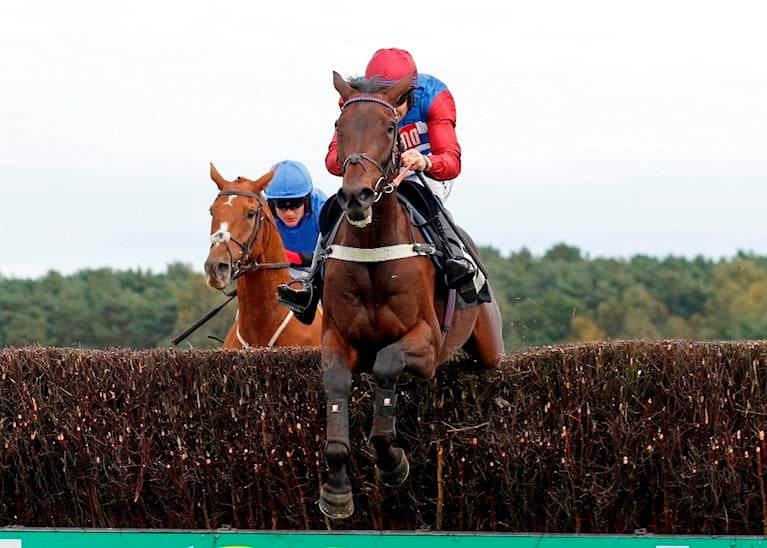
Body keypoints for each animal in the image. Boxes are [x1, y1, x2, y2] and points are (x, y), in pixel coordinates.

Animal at [318, 71, 504, 520]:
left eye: (389, 128)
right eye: (339, 127)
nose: (357, 196)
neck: (372, 247)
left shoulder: (428, 342)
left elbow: (387, 362)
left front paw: (391, 461)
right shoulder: (337, 337)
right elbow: (336, 383)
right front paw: (337, 488)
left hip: (489, 342)